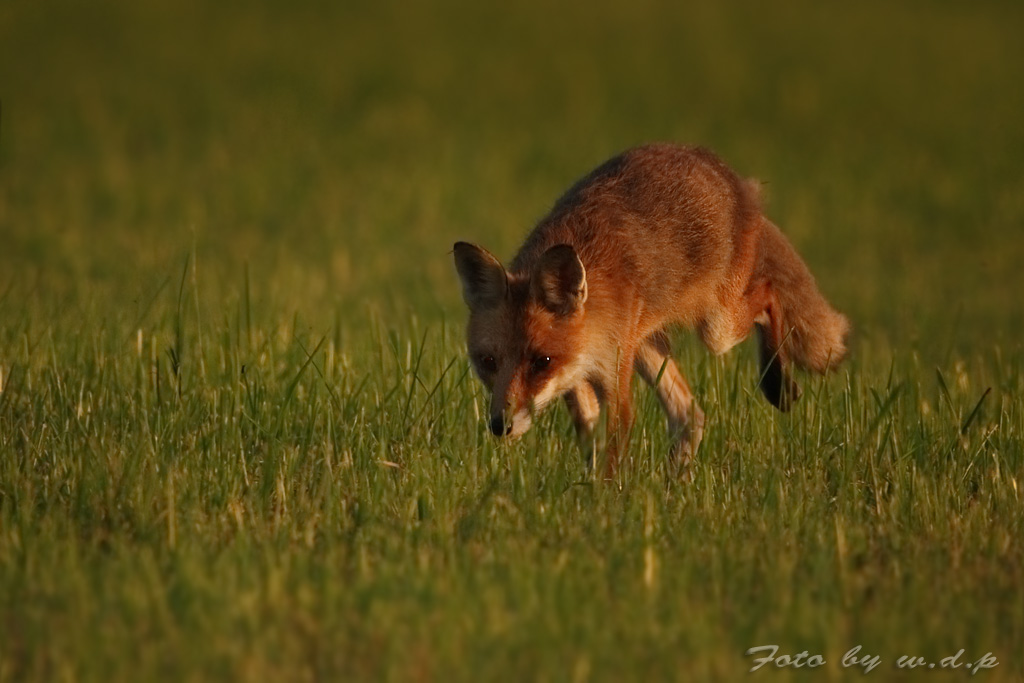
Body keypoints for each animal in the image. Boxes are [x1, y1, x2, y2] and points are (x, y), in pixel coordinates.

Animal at [454, 144, 847, 475]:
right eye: (487, 362)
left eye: (541, 362)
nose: (500, 425)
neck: (594, 314)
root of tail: (733, 179)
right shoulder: (578, 380)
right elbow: (590, 440)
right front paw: (585, 492)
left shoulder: (613, 379)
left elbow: (613, 452)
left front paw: (605, 504)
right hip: (647, 347)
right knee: (691, 416)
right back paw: (675, 483)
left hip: (716, 328)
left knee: (767, 295)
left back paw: (777, 382)